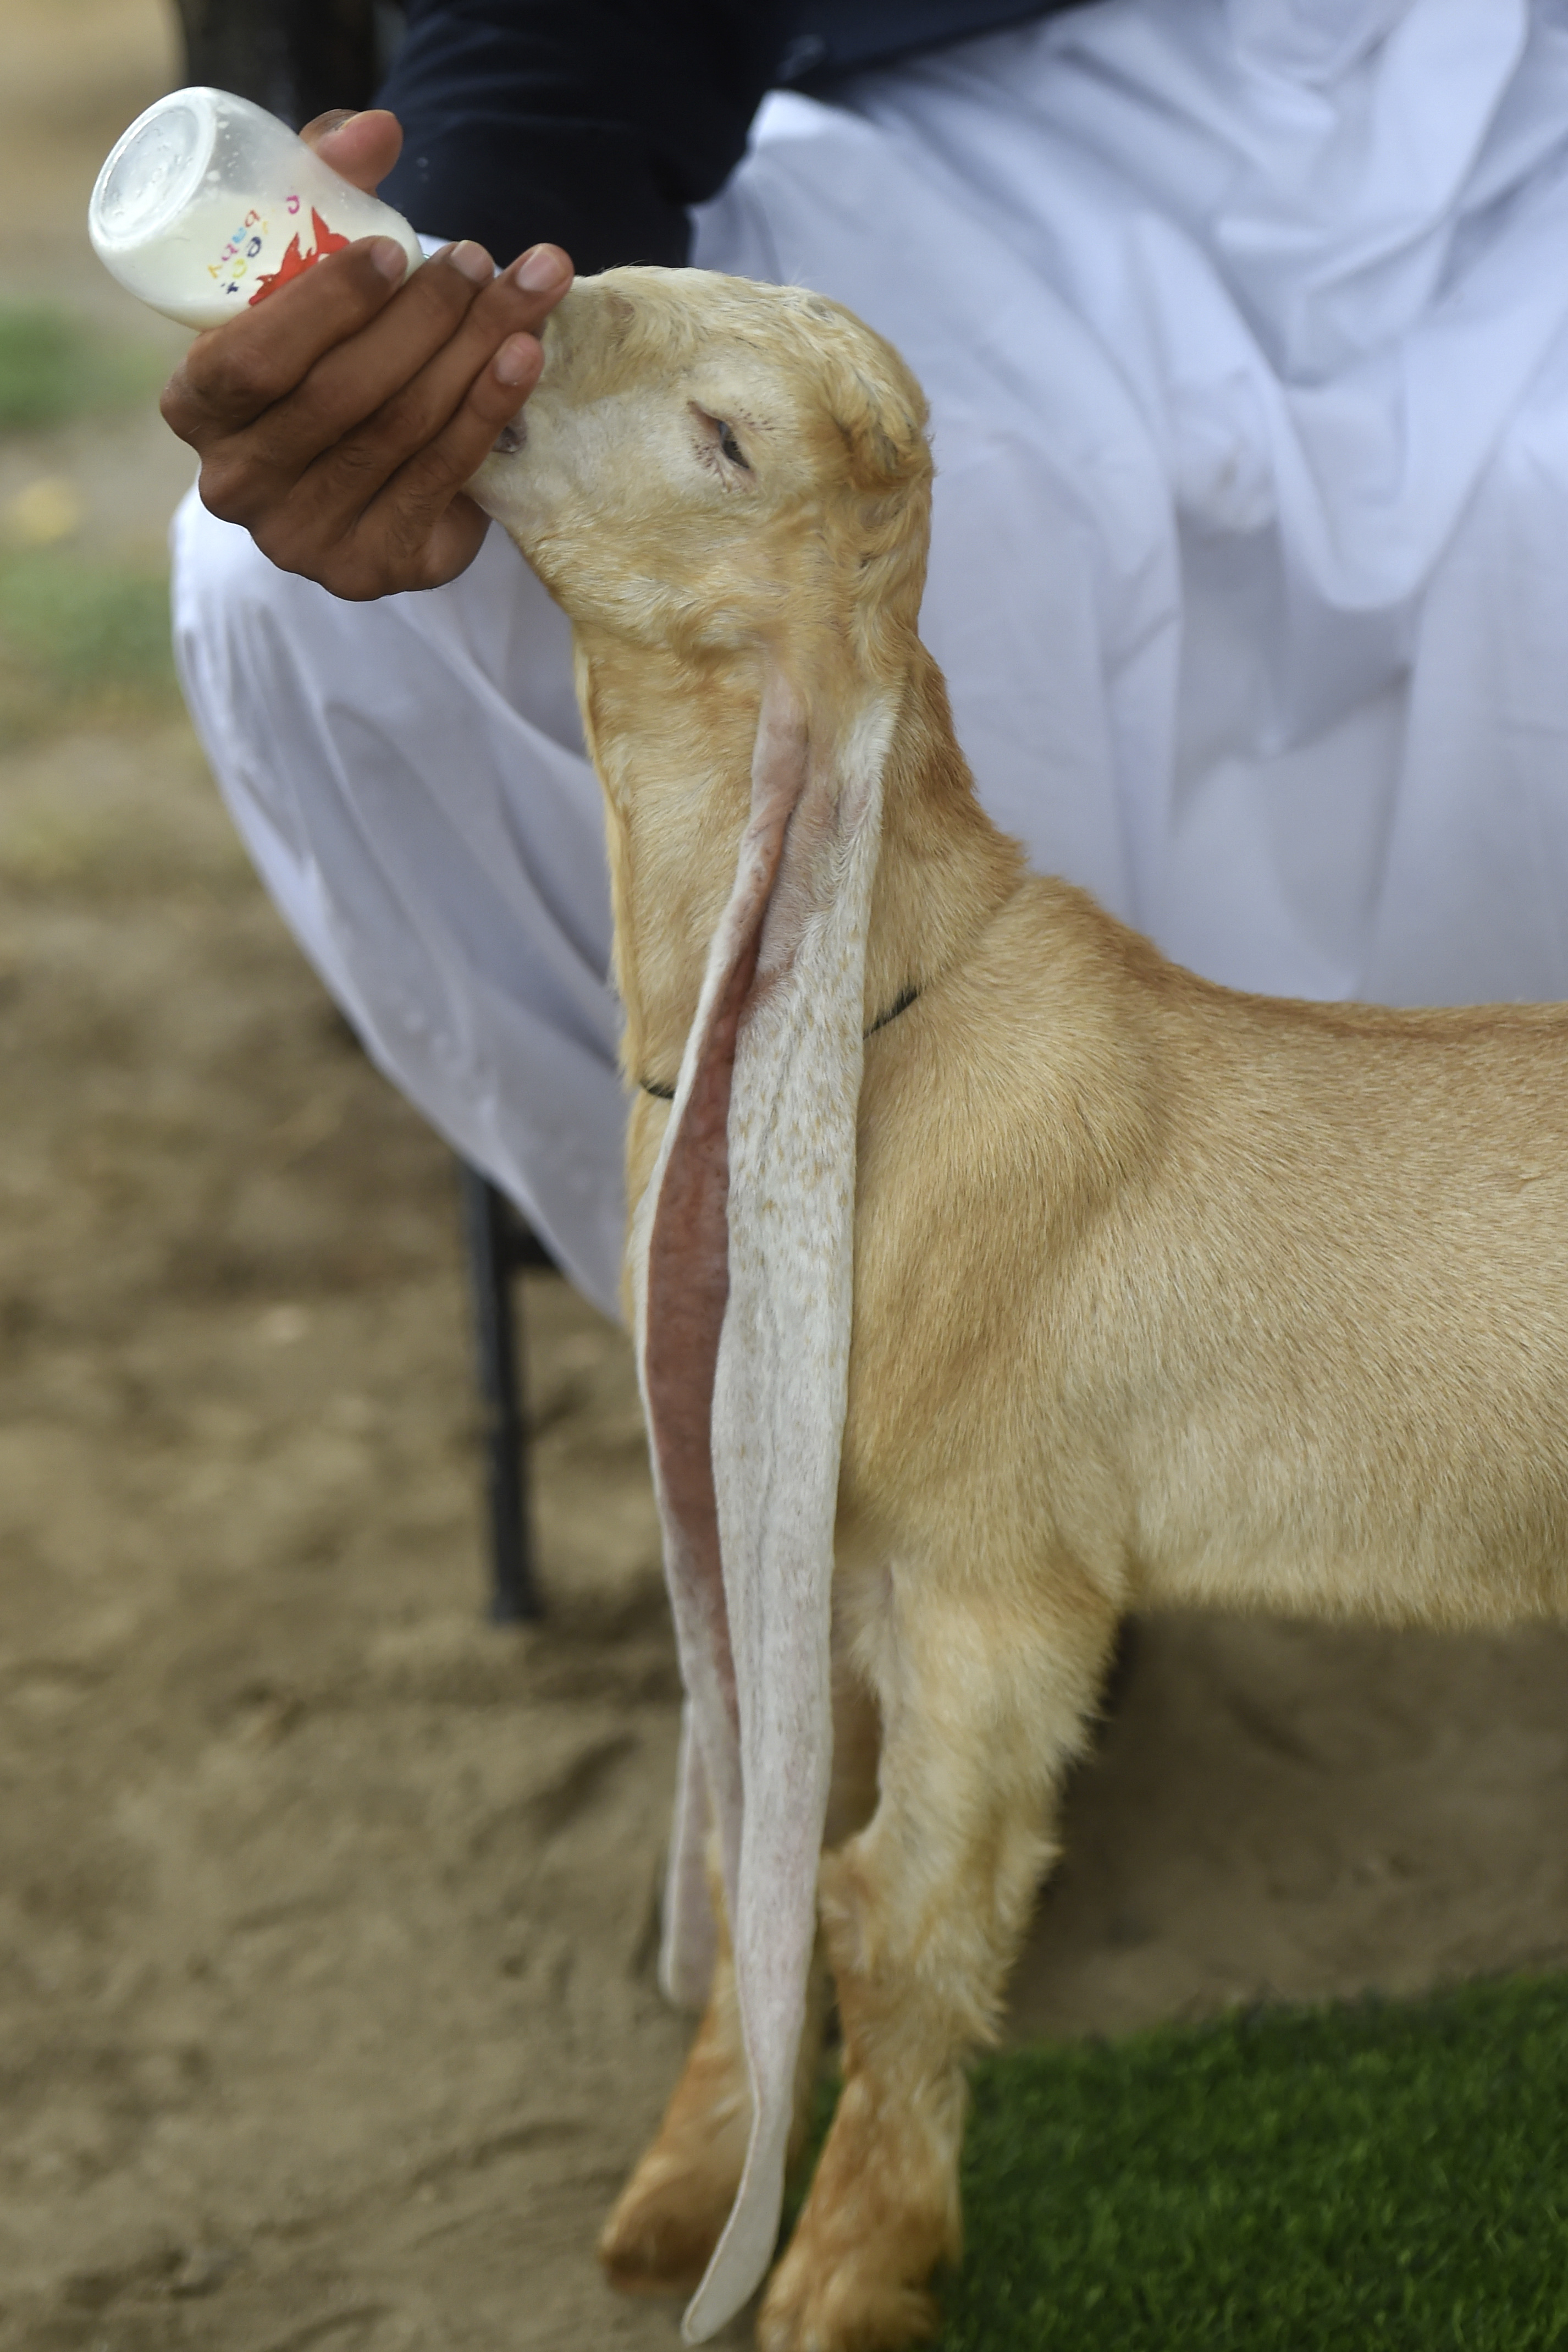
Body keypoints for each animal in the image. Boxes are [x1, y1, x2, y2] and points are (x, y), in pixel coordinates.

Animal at [472, 267, 1568, 2342]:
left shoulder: (996, 1576)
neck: (875, 1035)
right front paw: (682, 2196)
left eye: (724, 432)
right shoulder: (809, 1535)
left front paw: (842, 2274)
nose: (501, 314)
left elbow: (893, 1911)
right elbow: (759, 1858)